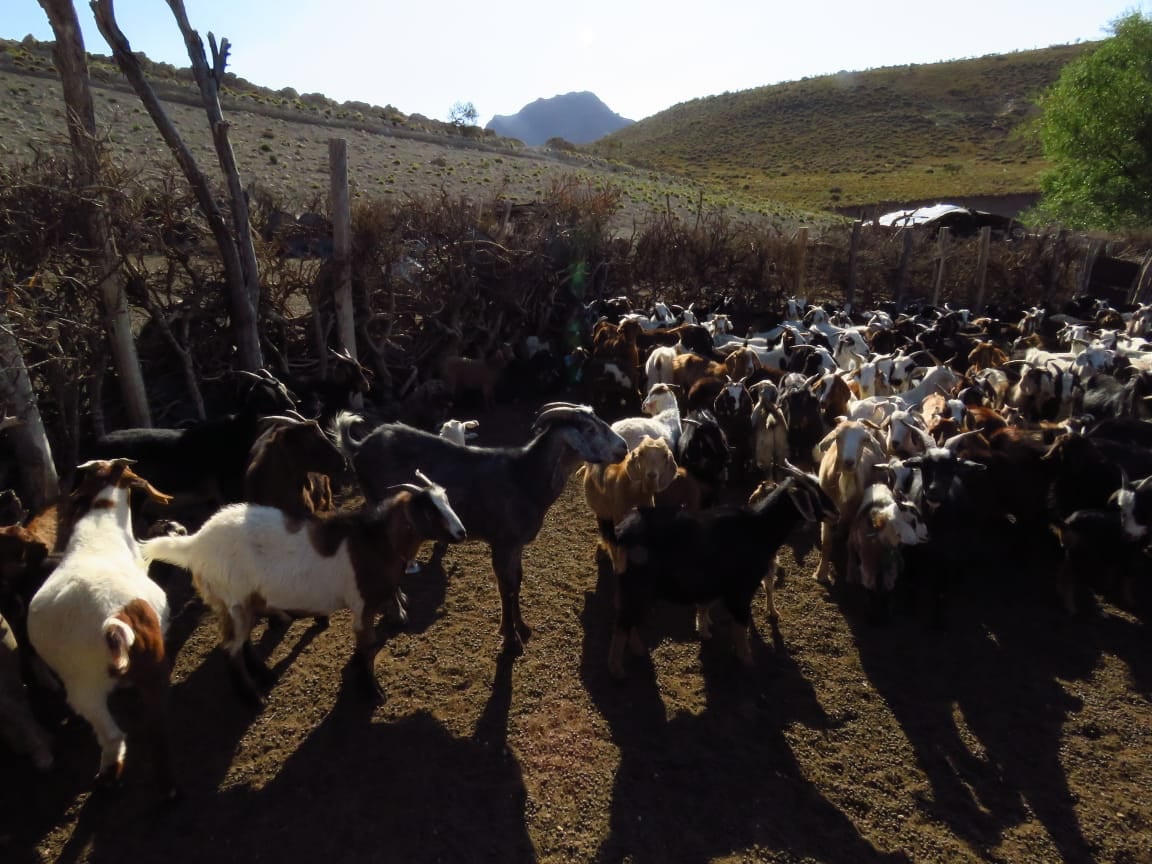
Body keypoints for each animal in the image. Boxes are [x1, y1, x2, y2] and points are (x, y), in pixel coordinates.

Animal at [331, 405, 631, 654]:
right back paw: (398, 613)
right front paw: (511, 640)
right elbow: (505, 586)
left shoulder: (515, 546)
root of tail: (359, 446)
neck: (524, 477)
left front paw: (522, 628)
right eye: (589, 429)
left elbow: (516, 582)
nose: (623, 448)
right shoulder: (502, 543)